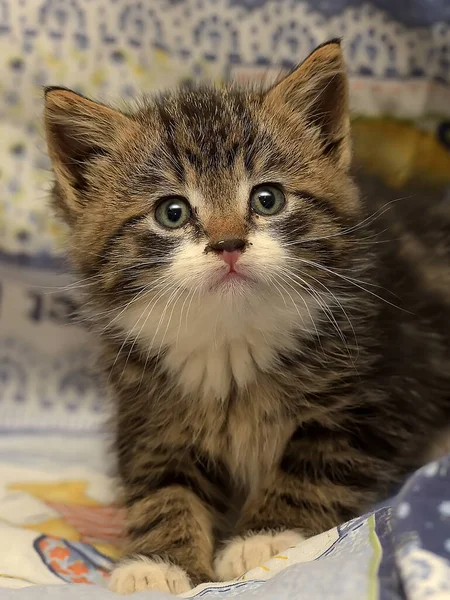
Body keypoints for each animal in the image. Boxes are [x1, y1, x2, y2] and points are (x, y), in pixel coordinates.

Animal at [44, 38, 450, 596]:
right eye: (171, 212)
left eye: (267, 199)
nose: (229, 243)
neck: (230, 338)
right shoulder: (149, 414)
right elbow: (164, 484)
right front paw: (159, 562)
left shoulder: (380, 393)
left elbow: (315, 465)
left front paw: (267, 537)